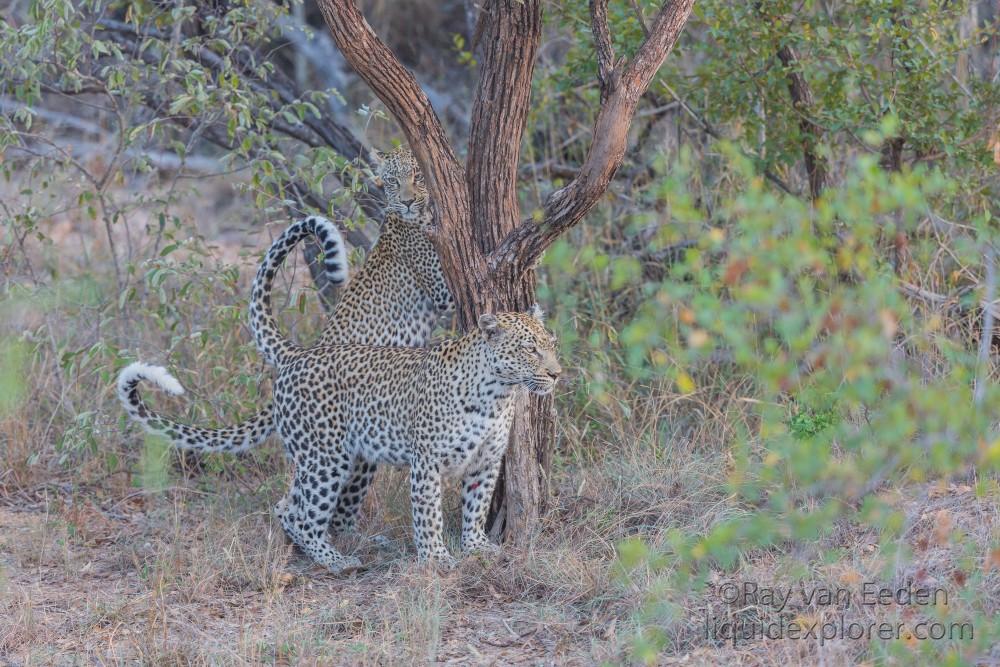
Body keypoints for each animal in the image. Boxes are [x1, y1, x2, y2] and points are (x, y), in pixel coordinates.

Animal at [117, 147, 454, 544]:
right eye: (391, 180)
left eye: (417, 176)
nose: (407, 200)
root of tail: (299, 352)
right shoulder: (442, 291)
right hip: (342, 444)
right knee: (307, 503)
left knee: (297, 501)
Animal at [119, 310, 564, 572]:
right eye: (530, 349)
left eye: (551, 345)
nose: (557, 373)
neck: (497, 394)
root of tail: (295, 356)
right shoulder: (427, 462)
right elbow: (429, 515)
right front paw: (437, 558)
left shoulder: (486, 462)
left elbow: (476, 507)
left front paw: (477, 547)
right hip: (326, 457)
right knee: (301, 513)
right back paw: (336, 561)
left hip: (338, 458)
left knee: (287, 505)